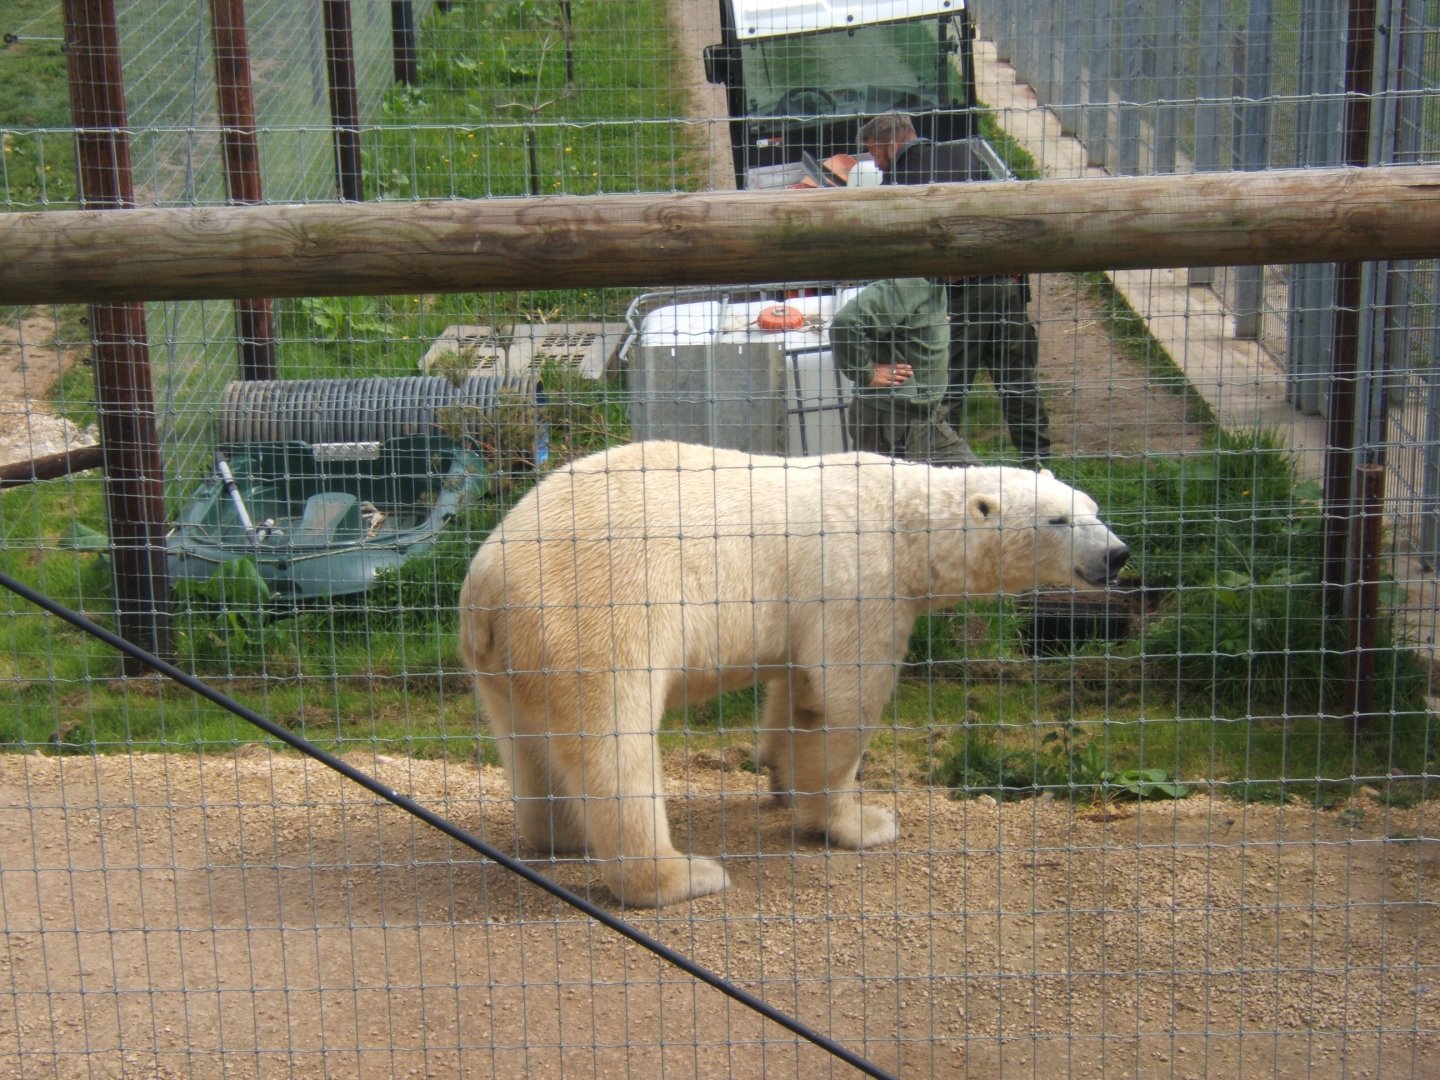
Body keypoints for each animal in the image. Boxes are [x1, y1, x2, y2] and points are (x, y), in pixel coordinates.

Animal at [458, 440, 1128, 907]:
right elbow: (841, 702)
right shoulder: (858, 581)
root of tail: (486, 584)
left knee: (530, 743)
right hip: (598, 613)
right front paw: (860, 822)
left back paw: (561, 837)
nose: (1118, 554)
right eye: (1058, 521)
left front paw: (780, 779)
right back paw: (680, 875)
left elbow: (792, 690)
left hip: (508, 661)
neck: (904, 518)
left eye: (1094, 508)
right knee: (615, 747)